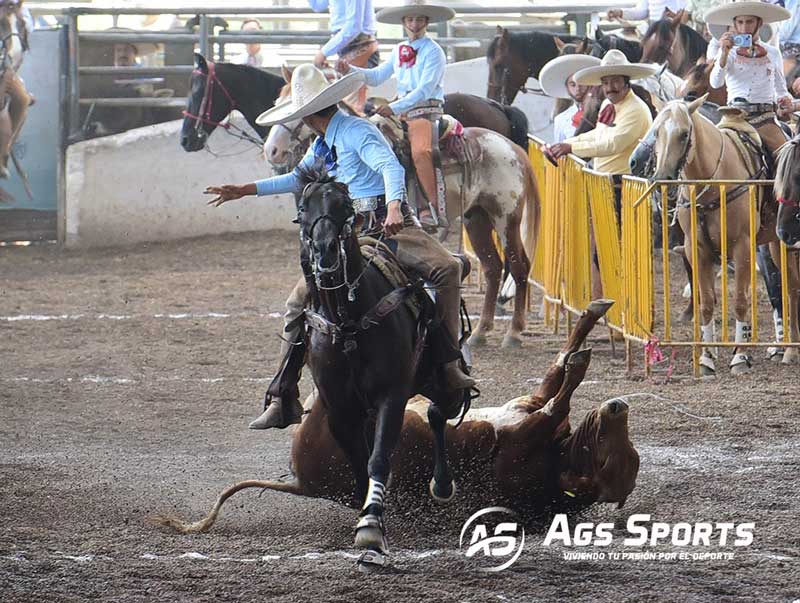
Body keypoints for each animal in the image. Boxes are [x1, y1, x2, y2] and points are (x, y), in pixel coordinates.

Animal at [152, 298, 636, 532]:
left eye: (604, 454)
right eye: (614, 442)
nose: (619, 406)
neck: (556, 459)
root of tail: (304, 485)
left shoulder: (534, 427)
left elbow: (563, 392)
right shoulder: (528, 406)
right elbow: (559, 369)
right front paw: (591, 319)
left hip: (341, 415)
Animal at [296, 171, 466, 572]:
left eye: (343, 204)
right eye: (303, 207)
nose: (325, 251)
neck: (349, 323)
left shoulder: (393, 395)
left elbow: (378, 458)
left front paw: (372, 528)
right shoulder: (340, 410)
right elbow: (360, 465)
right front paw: (371, 518)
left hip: (440, 383)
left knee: (439, 411)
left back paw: (442, 485)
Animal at [636, 97, 796, 372]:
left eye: (684, 134)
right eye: (657, 132)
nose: (663, 178)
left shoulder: (742, 246)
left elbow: (740, 300)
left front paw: (740, 356)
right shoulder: (697, 249)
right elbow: (707, 302)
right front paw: (707, 356)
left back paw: (788, 350)